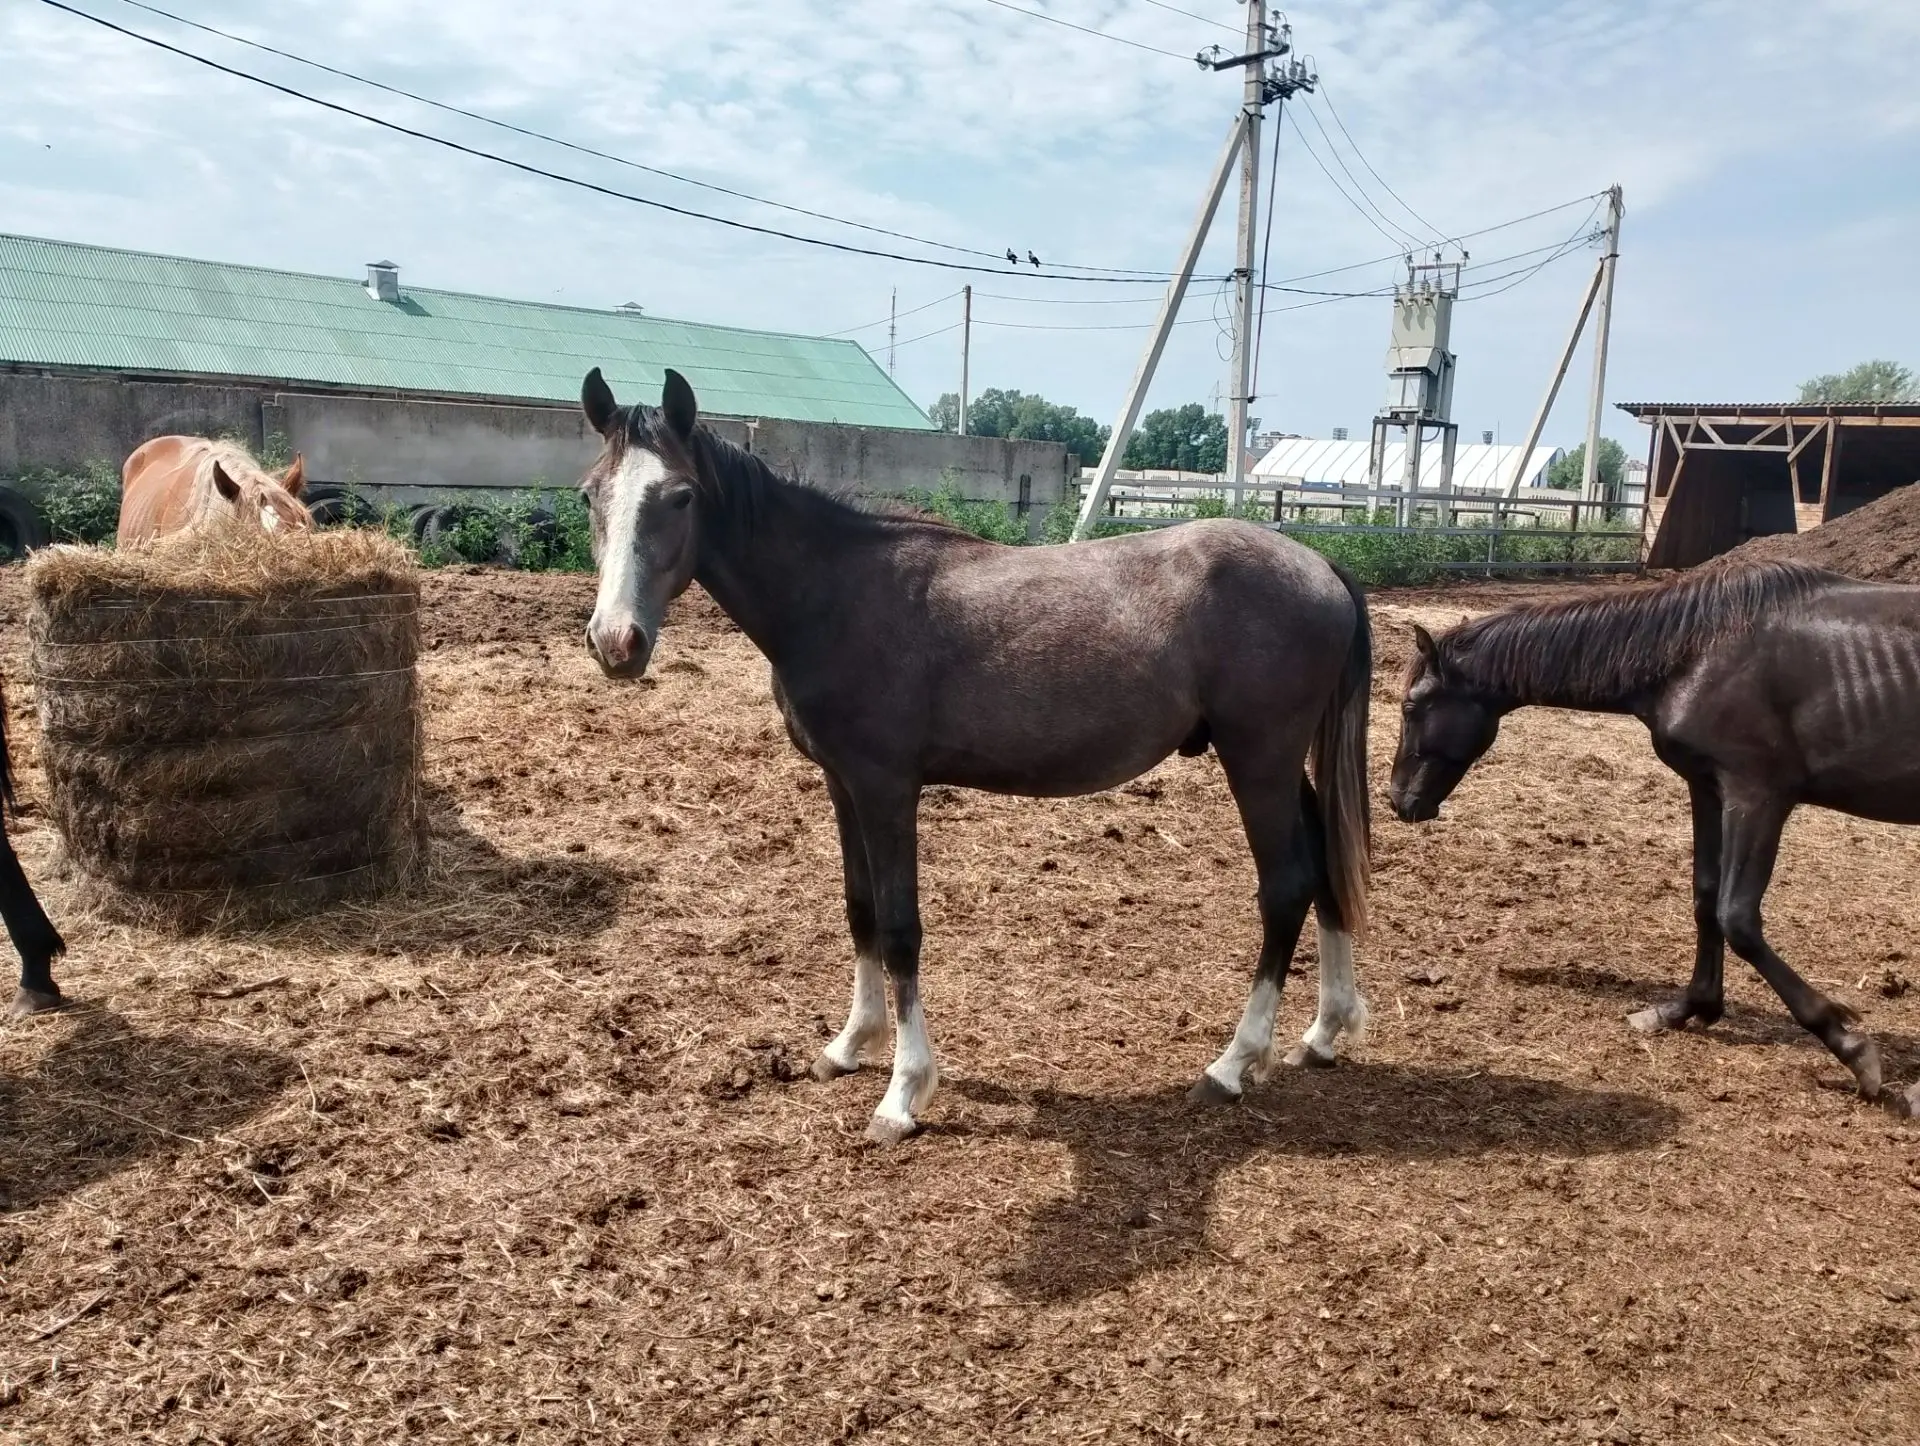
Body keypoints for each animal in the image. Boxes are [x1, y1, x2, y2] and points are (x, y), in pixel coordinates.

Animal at [575, 367, 1374, 1144]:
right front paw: (849, 1045)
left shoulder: (886, 788)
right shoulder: (842, 784)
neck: (835, 595)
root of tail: (1320, 565)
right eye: (591, 494)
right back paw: (1323, 1033)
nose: (617, 643)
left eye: (680, 496)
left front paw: (902, 1093)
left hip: (1258, 762)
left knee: (1285, 887)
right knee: (1323, 867)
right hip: (1285, 767)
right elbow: (860, 910)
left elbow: (900, 928)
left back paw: (1233, 1064)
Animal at [1389, 560, 1920, 1113]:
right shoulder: (1706, 787)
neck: (1700, 651)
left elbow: (1738, 918)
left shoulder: (1756, 797)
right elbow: (1706, 899)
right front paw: (1689, 1006)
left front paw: (1850, 1045)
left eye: (1410, 707)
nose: (1398, 800)